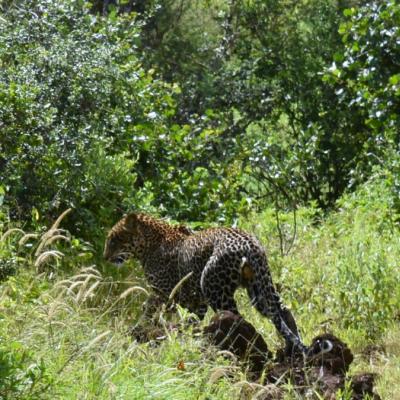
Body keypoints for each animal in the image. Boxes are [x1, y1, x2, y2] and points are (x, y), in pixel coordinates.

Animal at [104, 212, 308, 354]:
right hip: (259, 287)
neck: (148, 245)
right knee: (282, 311)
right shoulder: (196, 301)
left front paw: (140, 331)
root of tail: (250, 244)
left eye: (114, 239)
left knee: (236, 319)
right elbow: (189, 320)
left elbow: (150, 310)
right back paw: (291, 350)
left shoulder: (165, 292)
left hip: (214, 287)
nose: (105, 257)